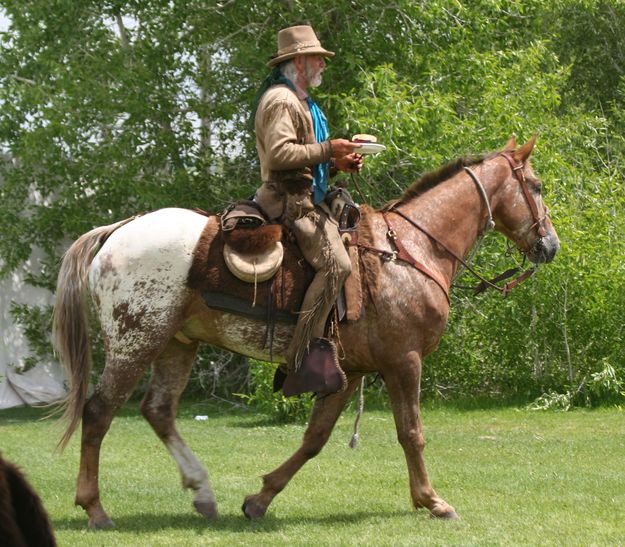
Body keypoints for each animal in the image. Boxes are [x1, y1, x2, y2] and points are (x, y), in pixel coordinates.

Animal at [53, 135, 560, 528]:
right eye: (535, 186)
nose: (550, 245)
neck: (410, 250)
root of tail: (119, 230)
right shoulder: (404, 362)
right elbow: (411, 432)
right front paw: (432, 501)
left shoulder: (348, 371)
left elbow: (314, 438)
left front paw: (259, 499)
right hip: (135, 343)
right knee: (98, 413)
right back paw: (95, 509)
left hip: (177, 344)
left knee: (158, 411)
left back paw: (202, 492)